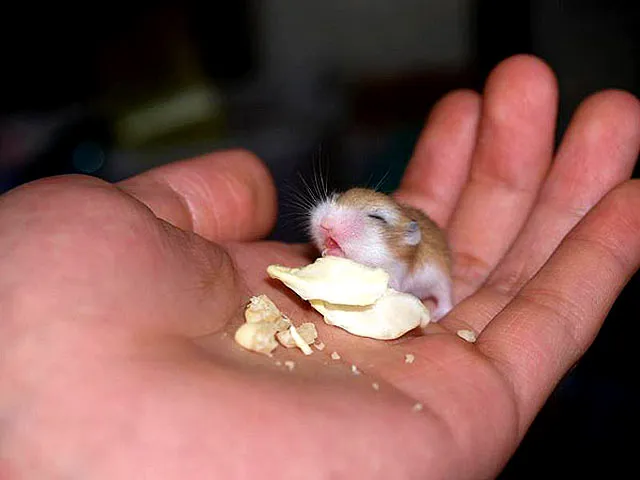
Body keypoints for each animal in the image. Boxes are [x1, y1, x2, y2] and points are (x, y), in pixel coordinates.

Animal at [308, 187, 453, 321]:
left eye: (377, 217)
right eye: (336, 198)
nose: (325, 223)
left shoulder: (393, 278)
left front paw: (333, 251)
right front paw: (325, 250)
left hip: (440, 281)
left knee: (446, 300)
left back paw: (435, 316)